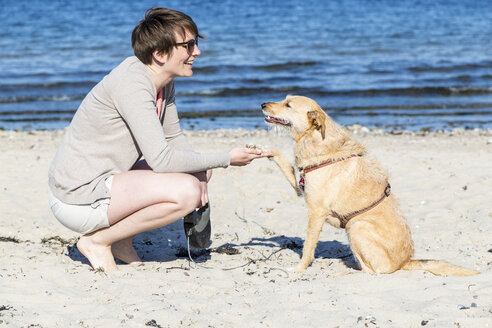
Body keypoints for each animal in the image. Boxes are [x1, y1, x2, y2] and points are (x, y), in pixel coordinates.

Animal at [264, 95, 478, 276]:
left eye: (288, 105)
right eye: (284, 99)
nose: (262, 104)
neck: (316, 141)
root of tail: (405, 263)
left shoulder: (316, 211)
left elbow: (308, 248)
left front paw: (299, 269)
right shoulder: (301, 188)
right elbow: (283, 162)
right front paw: (263, 150)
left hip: (356, 226)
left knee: (372, 272)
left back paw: (346, 272)